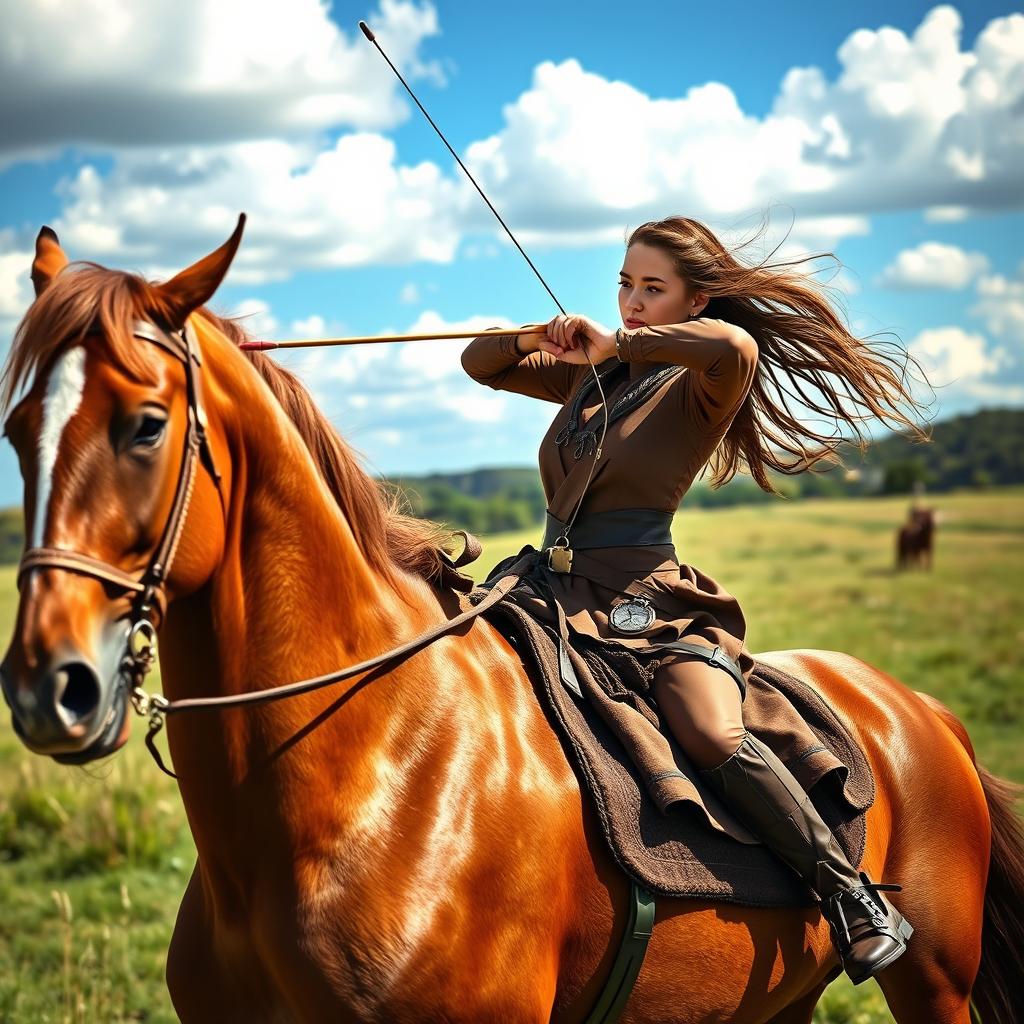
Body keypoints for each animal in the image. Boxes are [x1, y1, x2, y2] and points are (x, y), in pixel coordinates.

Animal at [2, 226, 1024, 1024]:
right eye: (18, 432)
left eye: (145, 425)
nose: (49, 688)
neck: (372, 769)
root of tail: (924, 710)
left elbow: (724, 338)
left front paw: (591, 337)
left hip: (935, 980)